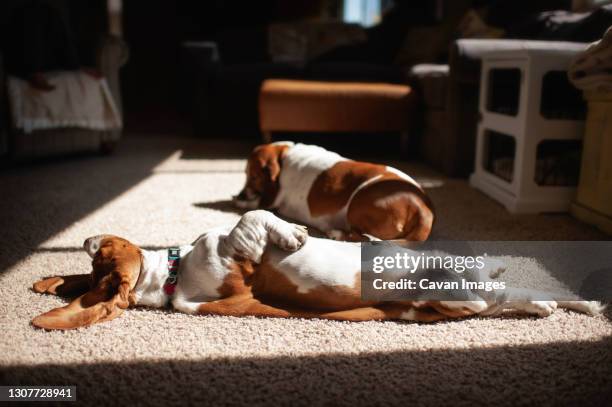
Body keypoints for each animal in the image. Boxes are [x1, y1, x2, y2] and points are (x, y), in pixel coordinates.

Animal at [235, 143, 436, 242]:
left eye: (253, 176)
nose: (241, 194)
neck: (284, 154)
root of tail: (422, 208)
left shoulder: (276, 200)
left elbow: (259, 203)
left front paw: (242, 202)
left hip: (356, 205)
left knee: (365, 238)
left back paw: (337, 234)